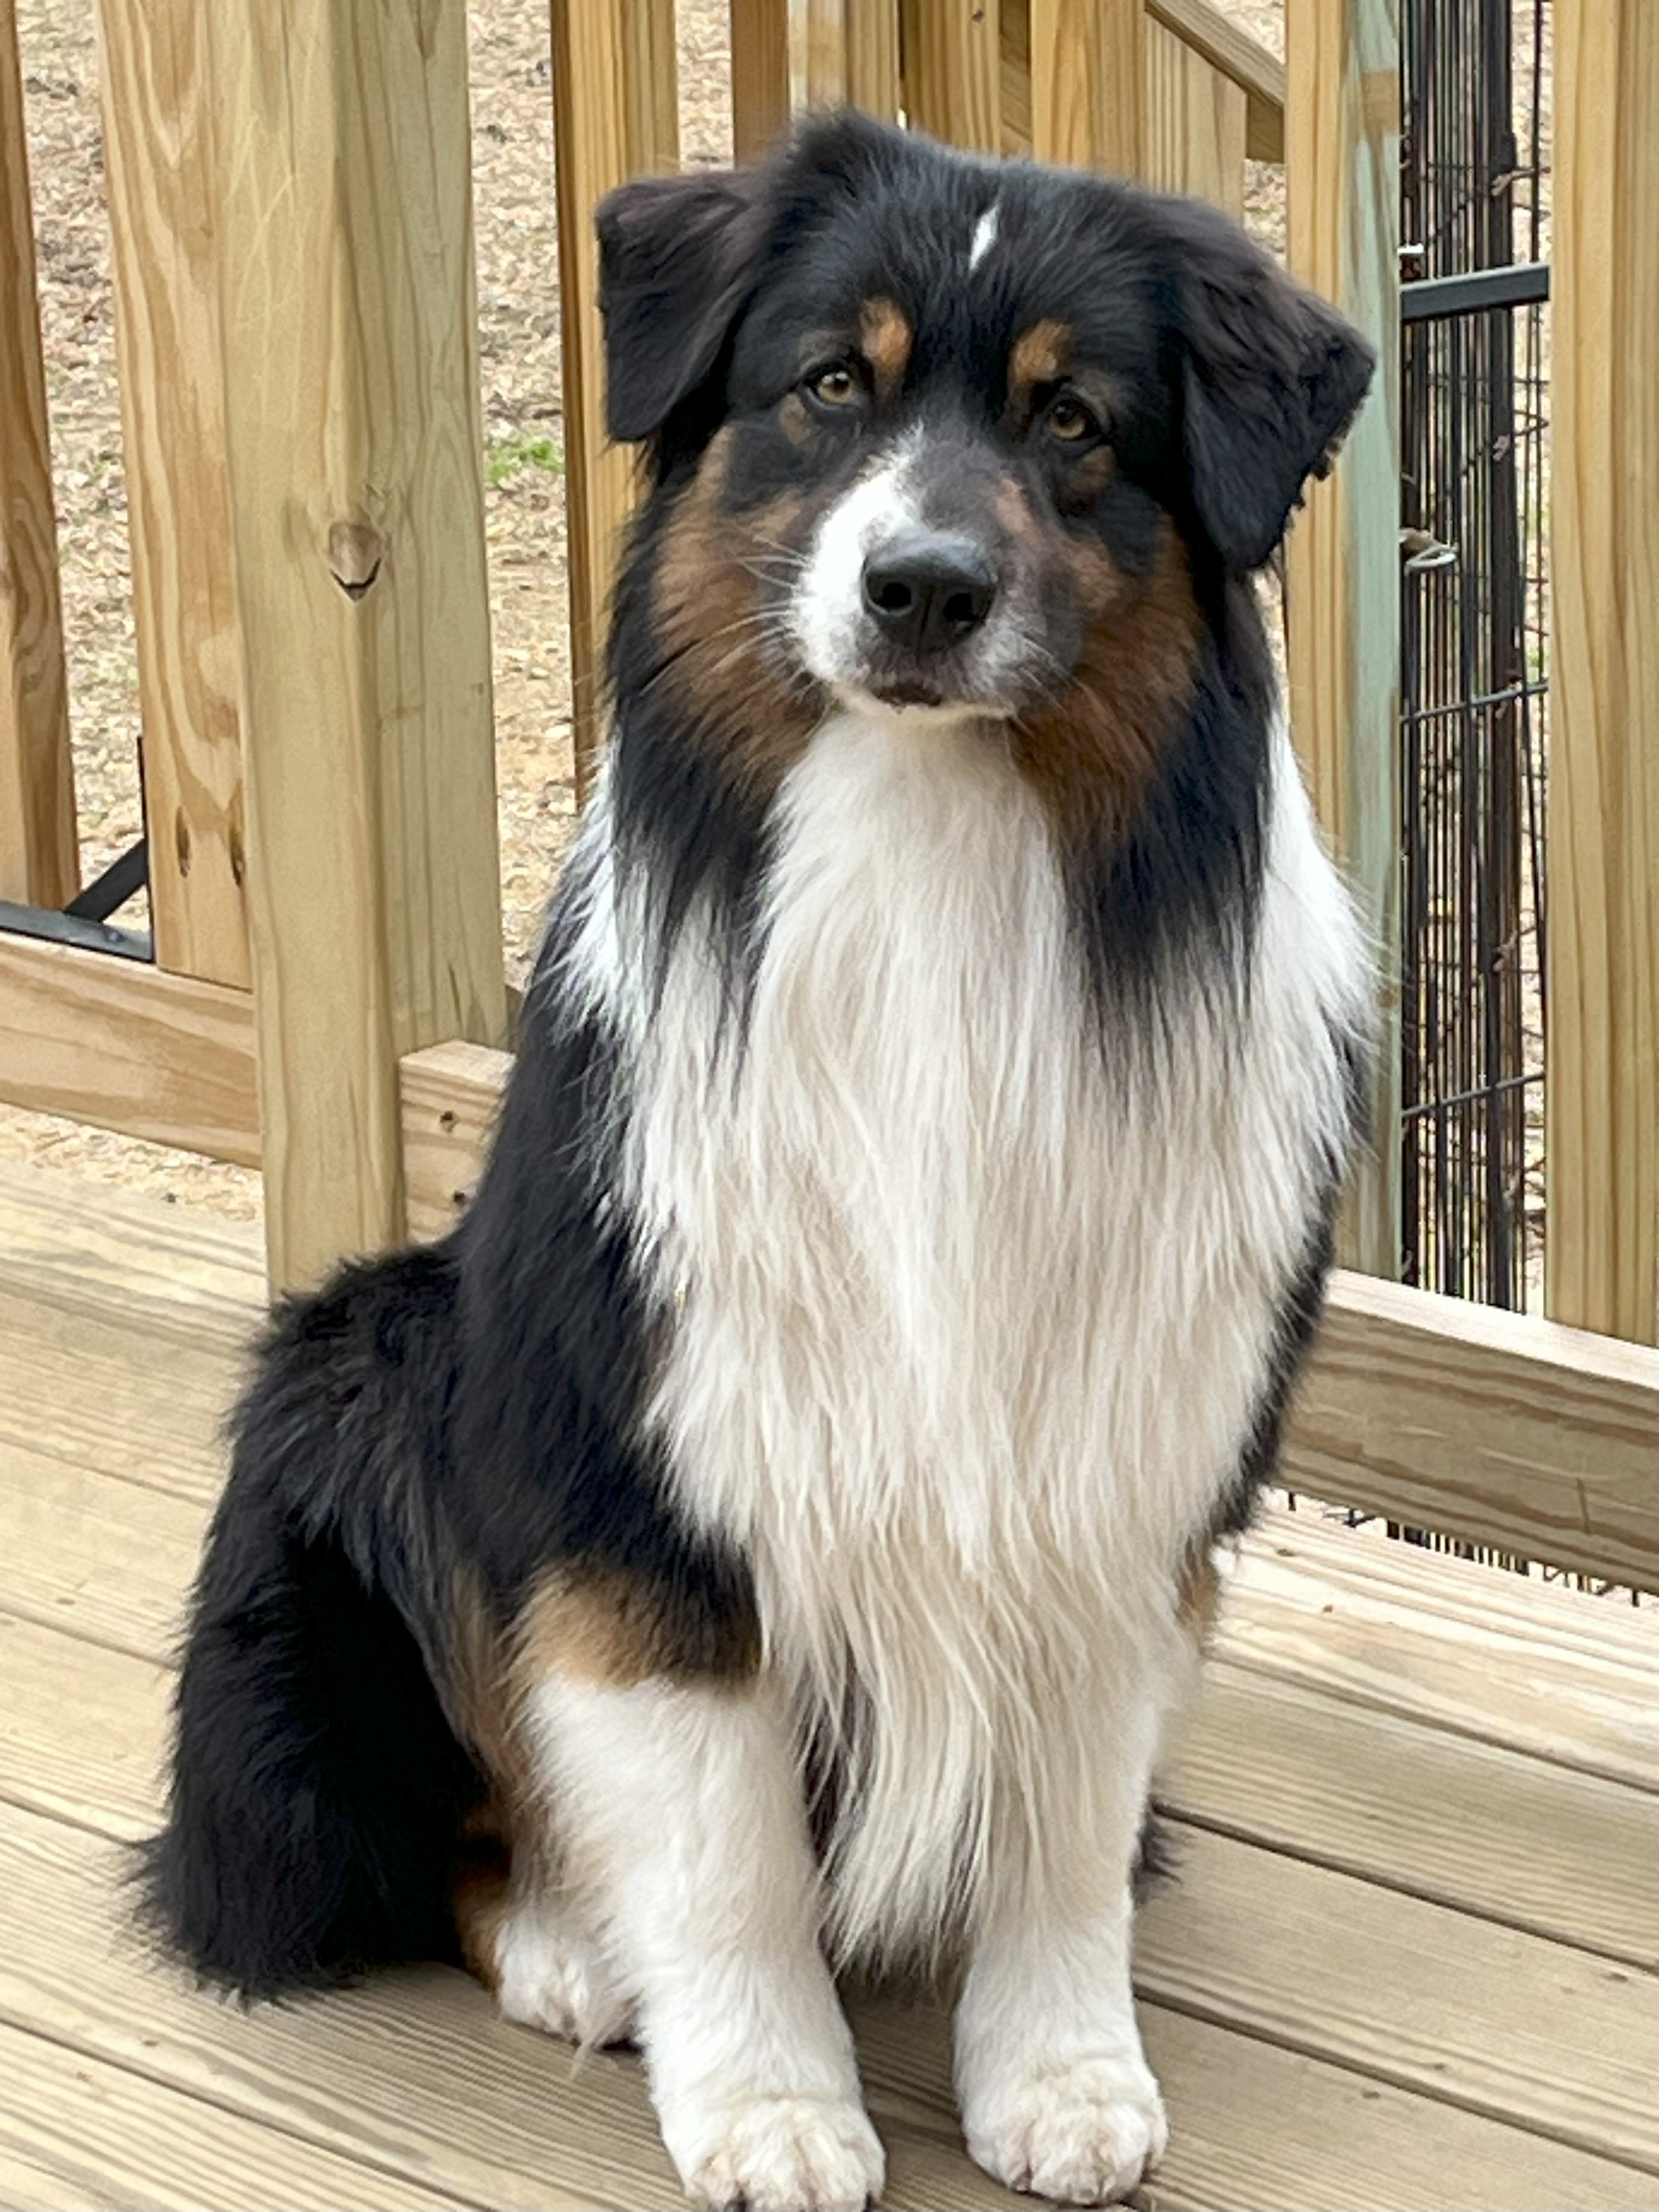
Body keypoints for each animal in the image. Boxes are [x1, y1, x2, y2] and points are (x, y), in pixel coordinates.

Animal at [143, 112, 1374, 2211]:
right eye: (829, 388)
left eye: (1073, 421)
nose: (923, 588)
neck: (931, 857)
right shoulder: (652, 1467)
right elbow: (721, 1851)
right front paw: (773, 2107)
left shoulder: (1122, 1452)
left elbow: (1061, 1827)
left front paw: (1059, 2074)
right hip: (373, 1363)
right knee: (449, 1828)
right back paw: (574, 1940)